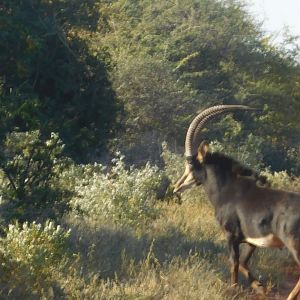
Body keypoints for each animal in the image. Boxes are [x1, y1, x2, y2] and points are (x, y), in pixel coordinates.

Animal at [173, 105, 300, 300]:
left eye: (191, 165)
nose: (176, 187)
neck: (228, 190)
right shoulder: (251, 240)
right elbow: (243, 263)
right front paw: (259, 287)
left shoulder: (231, 234)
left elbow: (233, 262)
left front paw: (234, 290)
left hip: (294, 245)